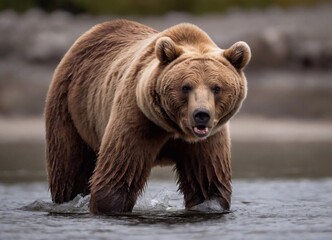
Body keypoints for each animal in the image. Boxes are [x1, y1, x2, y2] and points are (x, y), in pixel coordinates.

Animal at [45, 18, 250, 214]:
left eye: (216, 88)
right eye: (186, 87)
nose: (201, 114)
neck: (173, 128)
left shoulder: (208, 140)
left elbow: (206, 182)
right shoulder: (138, 119)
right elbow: (119, 171)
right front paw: (109, 205)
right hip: (70, 107)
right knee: (70, 168)